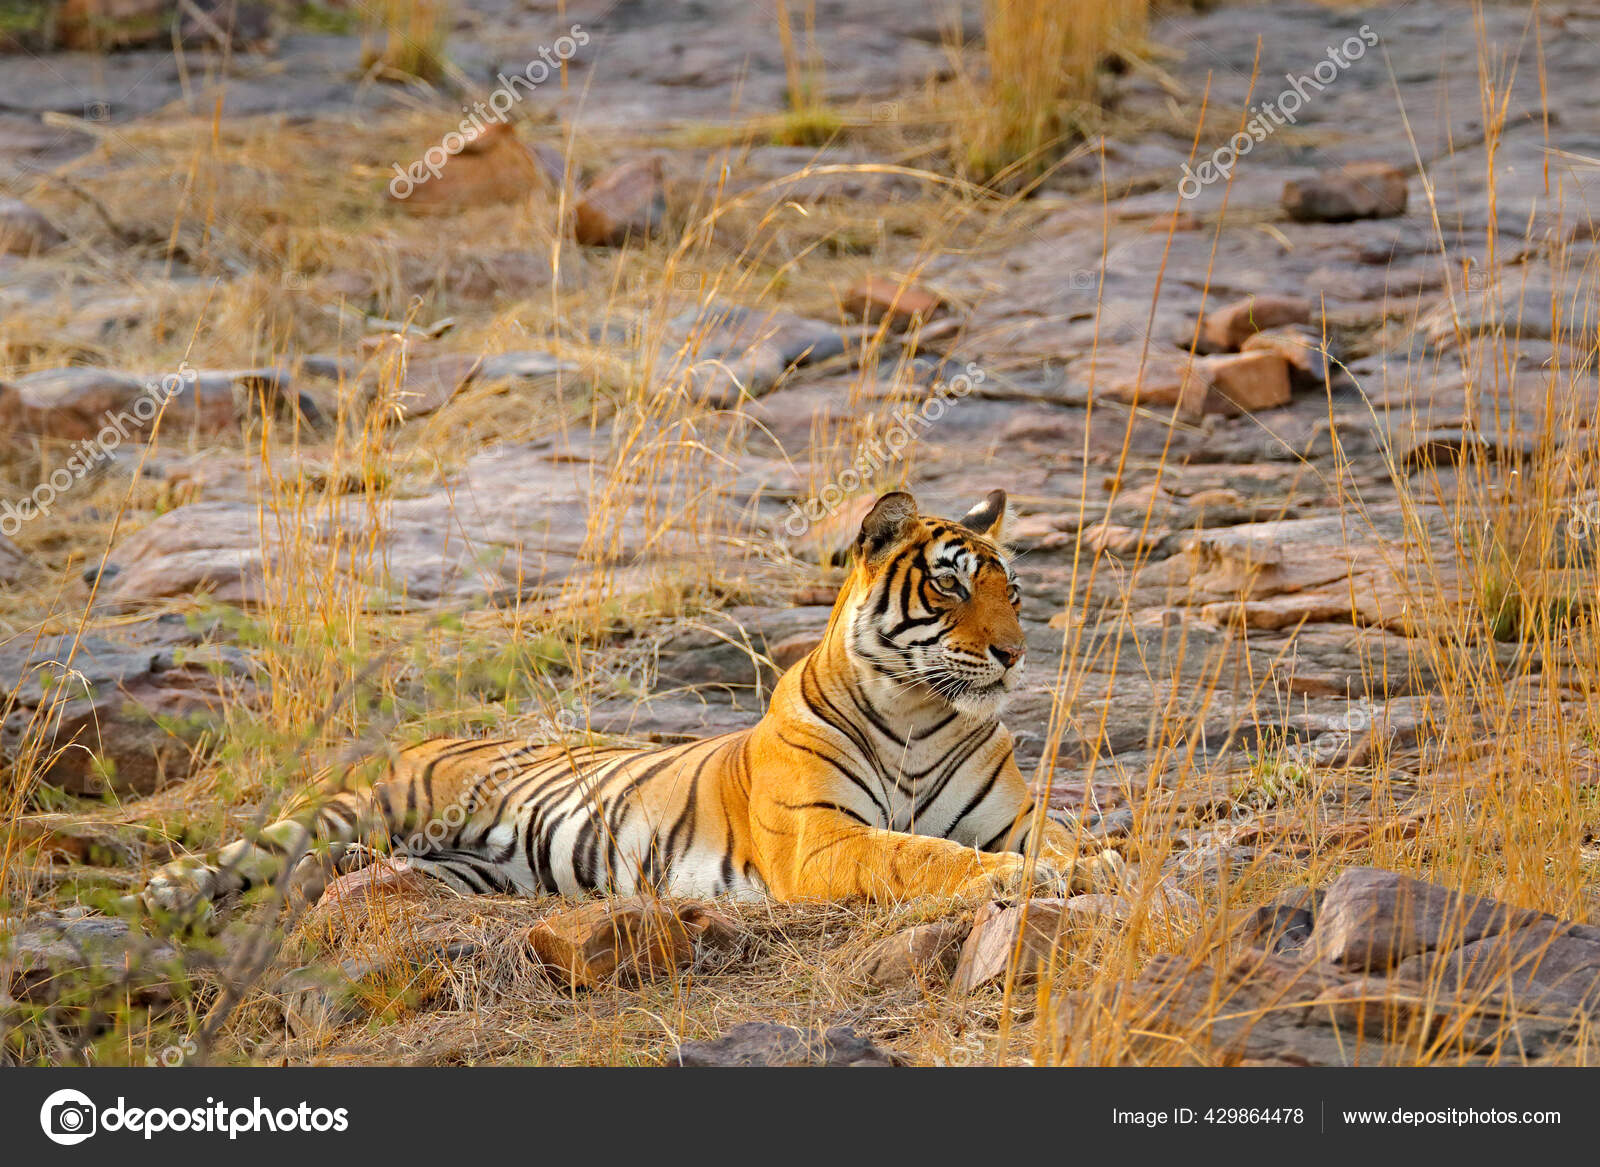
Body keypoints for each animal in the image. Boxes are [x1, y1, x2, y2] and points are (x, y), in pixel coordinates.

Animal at [137, 486, 1120, 915]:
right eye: (951, 588)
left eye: (1014, 591)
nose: (1015, 652)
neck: (918, 712)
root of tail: (424, 736)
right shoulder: (821, 840)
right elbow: (920, 854)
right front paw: (1022, 879)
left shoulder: (1011, 816)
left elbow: (1056, 838)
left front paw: (1098, 861)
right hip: (368, 804)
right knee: (244, 852)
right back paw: (161, 899)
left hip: (470, 867)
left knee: (339, 874)